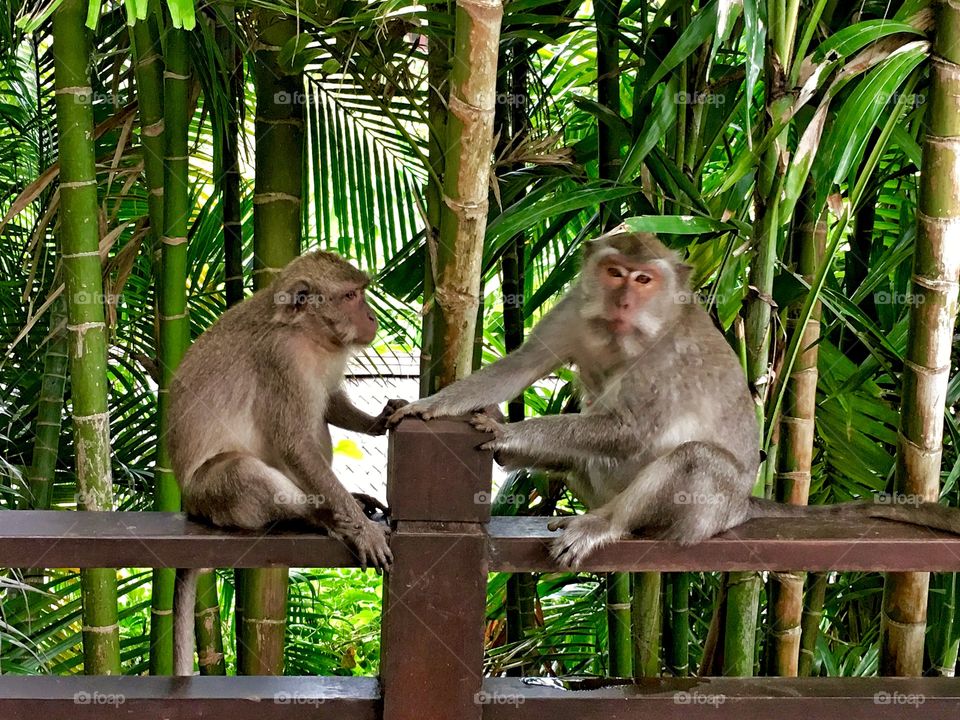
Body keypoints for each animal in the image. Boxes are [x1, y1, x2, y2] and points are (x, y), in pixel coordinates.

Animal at [167, 250, 405, 675]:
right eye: (350, 295)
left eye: (360, 292)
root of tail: (187, 502)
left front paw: (379, 420)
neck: (308, 334)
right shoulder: (281, 361)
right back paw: (320, 515)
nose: (372, 317)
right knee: (242, 470)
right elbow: (294, 443)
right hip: (208, 496)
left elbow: (330, 402)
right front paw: (360, 529)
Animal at [389, 229, 960, 568]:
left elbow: (632, 431)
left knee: (693, 460)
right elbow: (522, 365)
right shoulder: (574, 310)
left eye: (644, 279)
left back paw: (605, 524)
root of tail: (742, 506)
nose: (623, 300)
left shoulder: (669, 355)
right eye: (615, 273)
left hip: (708, 512)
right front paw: (432, 406)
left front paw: (510, 432)